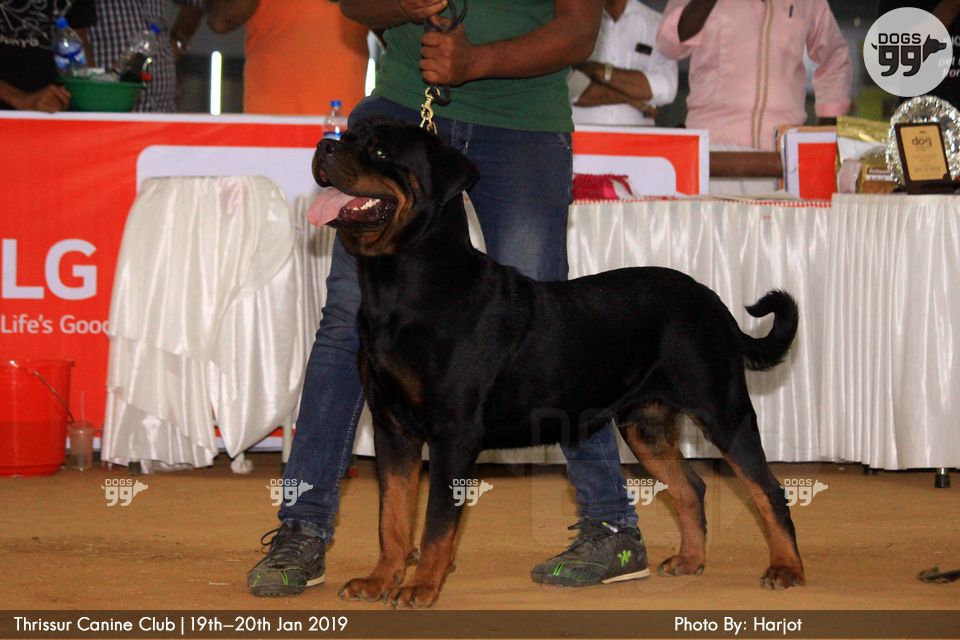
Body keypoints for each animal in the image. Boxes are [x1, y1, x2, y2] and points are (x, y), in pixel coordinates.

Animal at [307, 117, 805, 608]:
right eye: (349, 135)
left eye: (380, 151)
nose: (324, 146)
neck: (399, 290)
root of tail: (716, 304)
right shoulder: (392, 428)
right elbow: (391, 516)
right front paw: (380, 579)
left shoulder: (452, 433)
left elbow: (436, 522)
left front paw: (421, 587)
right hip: (643, 426)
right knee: (690, 487)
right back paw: (690, 560)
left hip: (722, 409)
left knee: (768, 489)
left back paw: (786, 569)